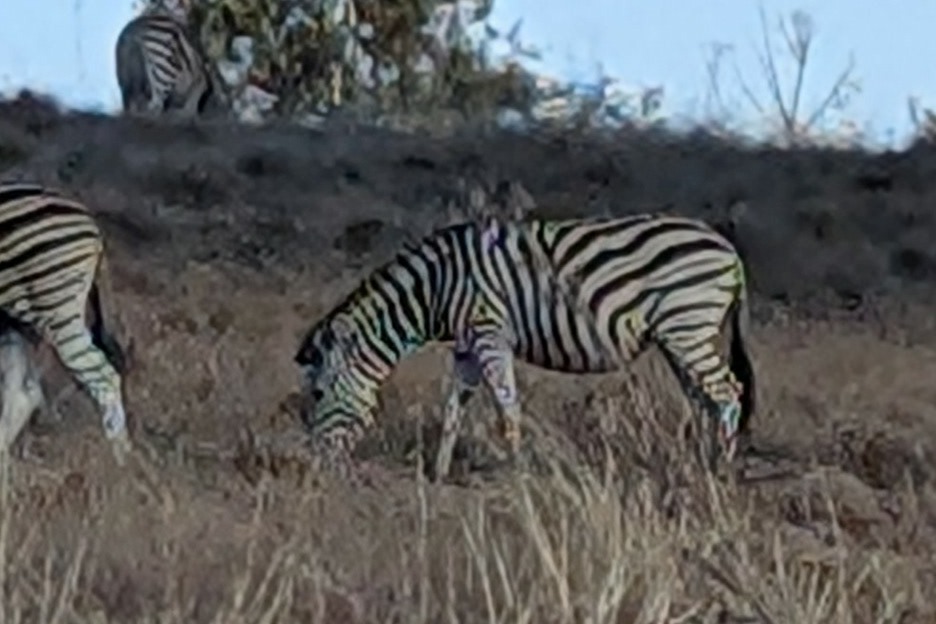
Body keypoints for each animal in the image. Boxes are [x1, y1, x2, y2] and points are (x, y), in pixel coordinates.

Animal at [294, 213, 756, 482]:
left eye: (317, 394)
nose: (316, 469)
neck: (435, 288)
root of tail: (730, 250)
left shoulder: (489, 334)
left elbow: (506, 406)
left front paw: (517, 472)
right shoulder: (467, 347)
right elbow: (453, 410)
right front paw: (439, 475)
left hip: (687, 326)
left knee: (727, 393)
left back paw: (720, 470)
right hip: (680, 336)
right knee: (703, 398)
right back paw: (699, 463)